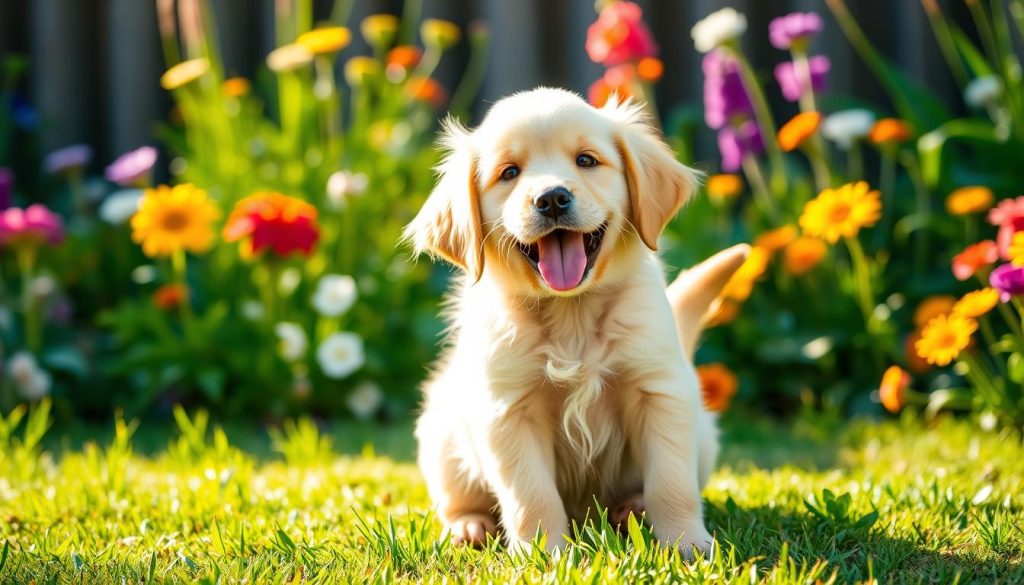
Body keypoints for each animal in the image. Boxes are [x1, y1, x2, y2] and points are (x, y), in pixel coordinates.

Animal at [403, 88, 749, 557]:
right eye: (509, 172)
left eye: (586, 160)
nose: (551, 199)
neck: (572, 313)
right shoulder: (508, 410)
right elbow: (531, 494)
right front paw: (544, 553)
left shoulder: (660, 393)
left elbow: (671, 483)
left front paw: (686, 544)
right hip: (441, 438)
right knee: (457, 499)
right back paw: (468, 527)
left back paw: (631, 508)